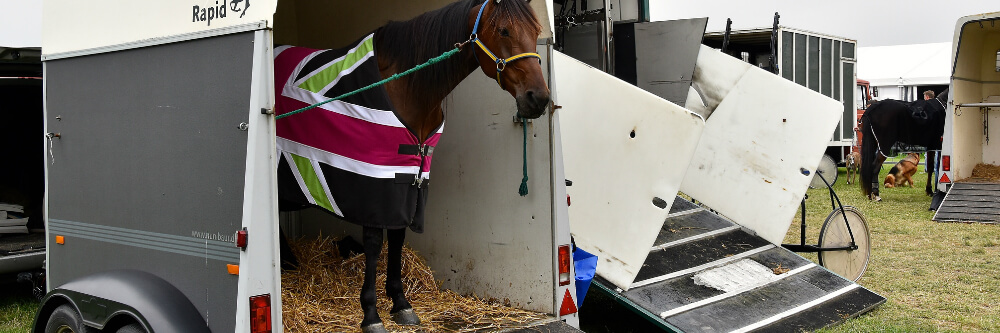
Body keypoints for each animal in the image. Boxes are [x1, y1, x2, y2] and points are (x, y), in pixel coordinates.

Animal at [272, 1, 548, 330]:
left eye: (536, 32)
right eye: (504, 30)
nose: (539, 98)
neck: (405, 84)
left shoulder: (409, 177)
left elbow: (398, 237)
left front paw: (400, 303)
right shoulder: (377, 180)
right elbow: (375, 242)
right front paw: (370, 314)